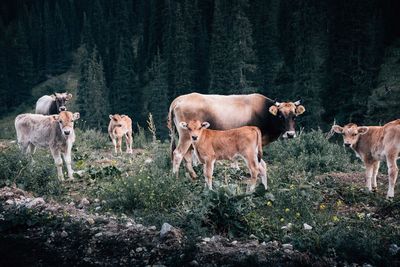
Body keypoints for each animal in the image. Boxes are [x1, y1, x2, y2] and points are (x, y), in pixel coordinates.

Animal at [167, 93, 304, 179]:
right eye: (280, 116)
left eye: (294, 116)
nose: (290, 134)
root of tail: (179, 99)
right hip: (186, 135)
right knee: (178, 153)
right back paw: (175, 177)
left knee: (187, 155)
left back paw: (193, 175)